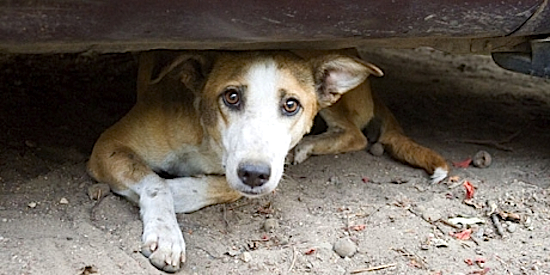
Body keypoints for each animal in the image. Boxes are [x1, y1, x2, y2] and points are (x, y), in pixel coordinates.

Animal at [87, 49, 448, 272]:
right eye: (231, 97)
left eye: (291, 105)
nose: (253, 174)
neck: (209, 141)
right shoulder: (108, 146)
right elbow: (155, 183)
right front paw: (165, 233)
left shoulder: (256, 172)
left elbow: (217, 186)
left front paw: (177, 192)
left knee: (355, 135)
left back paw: (306, 146)